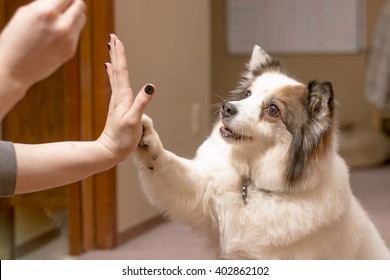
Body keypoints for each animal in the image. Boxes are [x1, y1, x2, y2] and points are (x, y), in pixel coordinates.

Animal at [133, 46, 388, 260]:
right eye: (247, 94)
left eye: (273, 109)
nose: (226, 108)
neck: (252, 186)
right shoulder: (198, 193)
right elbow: (168, 167)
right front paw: (146, 137)